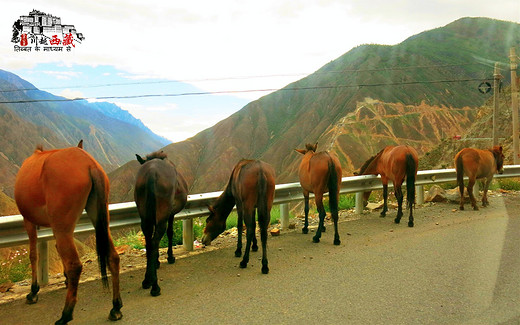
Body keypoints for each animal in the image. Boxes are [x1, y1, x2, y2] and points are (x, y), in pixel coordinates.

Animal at [13, 140, 122, 322]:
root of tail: (89, 164)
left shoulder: (29, 221)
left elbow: (34, 255)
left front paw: (33, 291)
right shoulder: (55, 226)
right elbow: (57, 248)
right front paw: (65, 280)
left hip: (62, 226)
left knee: (75, 265)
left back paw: (66, 314)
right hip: (99, 220)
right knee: (113, 257)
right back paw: (116, 307)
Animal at [135, 151, 188, 294]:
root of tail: (152, 172)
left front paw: (156, 261)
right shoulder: (170, 214)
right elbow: (170, 233)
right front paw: (170, 257)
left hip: (145, 216)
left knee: (149, 241)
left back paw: (147, 280)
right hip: (163, 214)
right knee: (155, 240)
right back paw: (155, 285)